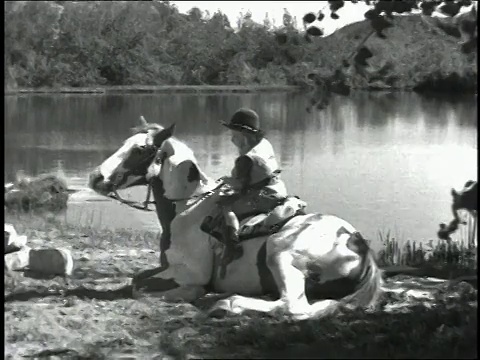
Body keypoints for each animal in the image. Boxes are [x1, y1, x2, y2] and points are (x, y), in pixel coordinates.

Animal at [89, 116, 382, 320]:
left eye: (140, 150)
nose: (95, 177)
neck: (186, 208)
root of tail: (357, 242)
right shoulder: (167, 267)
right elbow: (137, 279)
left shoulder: (187, 273)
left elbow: (140, 287)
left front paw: (192, 294)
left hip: (281, 252)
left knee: (293, 306)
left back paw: (228, 303)